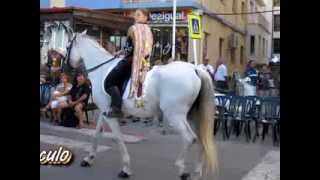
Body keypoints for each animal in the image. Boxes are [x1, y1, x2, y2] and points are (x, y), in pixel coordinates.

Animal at [44, 21, 218, 179]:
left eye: (68, 46)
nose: (64, 70)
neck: (102, 69)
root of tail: (195, 69)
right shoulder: (105, 111)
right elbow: (97, 134)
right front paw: (89, 158)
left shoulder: (109, 114)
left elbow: (119, 139)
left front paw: (126, 169)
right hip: (193, 115)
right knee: (201, 140)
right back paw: (197, 172)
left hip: (175, 115)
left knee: (190, 138)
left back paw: (182, 169)